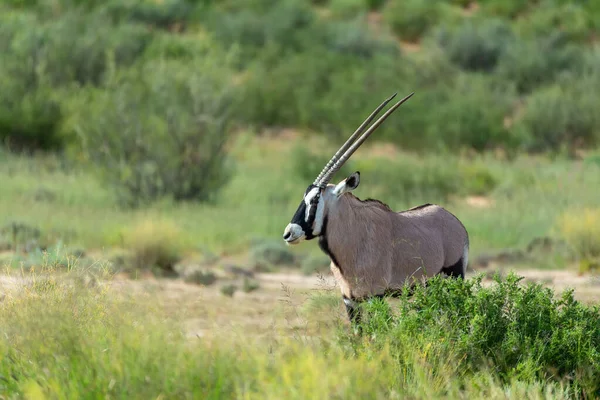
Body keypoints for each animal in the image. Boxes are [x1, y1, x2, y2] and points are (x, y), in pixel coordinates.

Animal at [282, 93, 468, 324]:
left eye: (315, 199)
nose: (288, 233)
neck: (353, 236)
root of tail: (455, 222)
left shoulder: (375, 296)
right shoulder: (350, 300)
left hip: (453, 277)